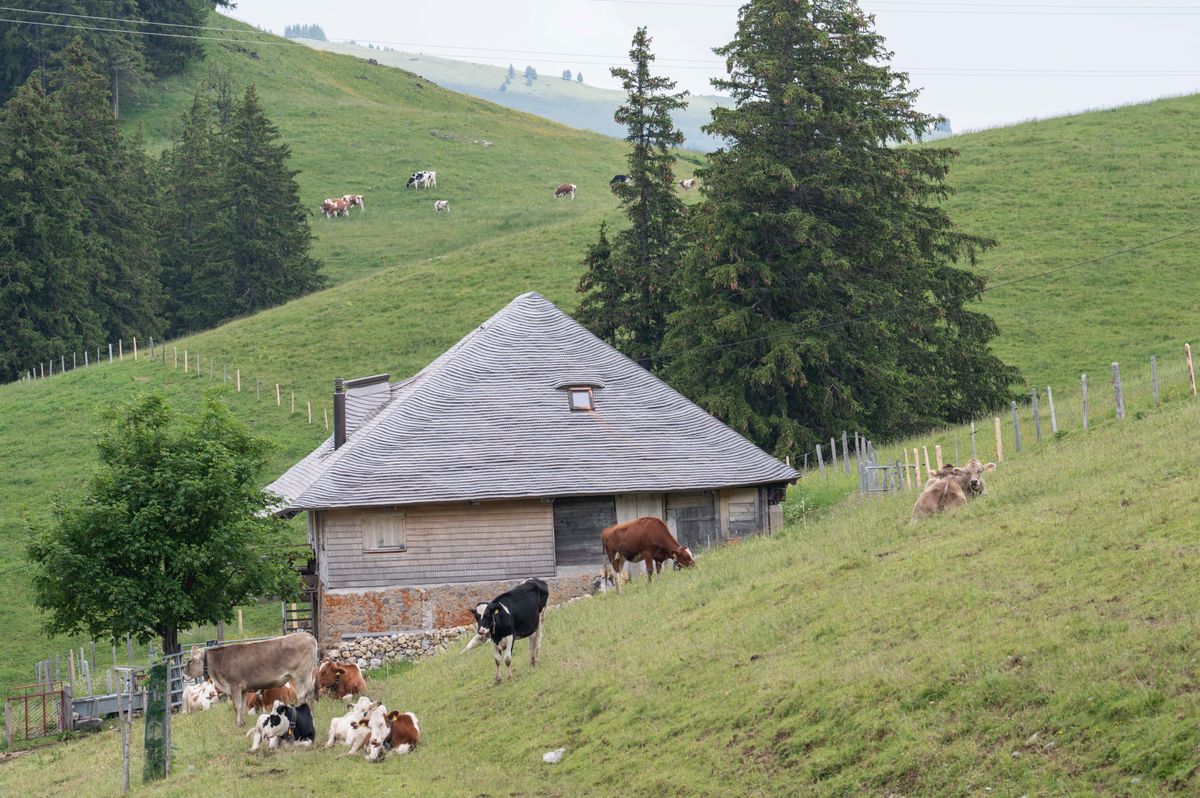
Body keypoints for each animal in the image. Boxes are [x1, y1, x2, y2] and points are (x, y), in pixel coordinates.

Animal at [184, 632, 318, 726]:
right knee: (310, 693)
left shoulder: (235, 686)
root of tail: (308, 636)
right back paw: (311, 715)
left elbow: (237, 706)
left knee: (301, 695)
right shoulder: (243, 689)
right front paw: (243, 722)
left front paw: (238, 724)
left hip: (300, 674)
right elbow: (242, 707)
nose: (184, 676)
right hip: (308, 674)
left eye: (190, 661)